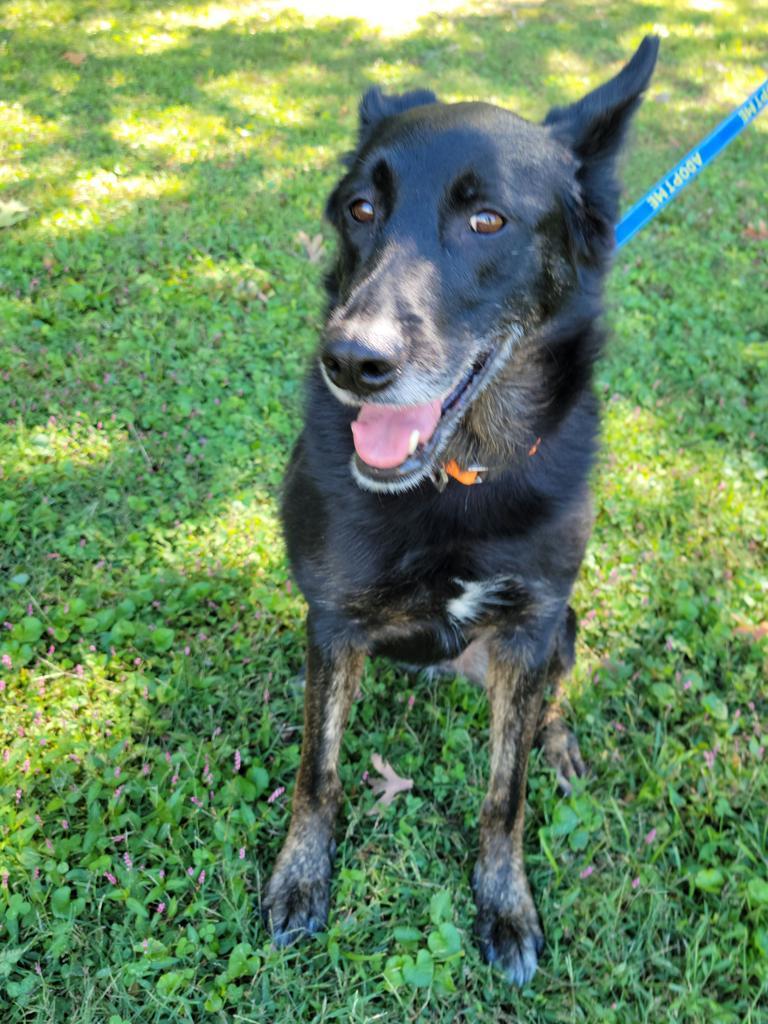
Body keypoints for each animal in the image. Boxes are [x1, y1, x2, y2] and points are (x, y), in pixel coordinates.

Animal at [264, 36, 663, 987]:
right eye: (362, 208)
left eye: (487, 222)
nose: (351, 360)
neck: (457, 477)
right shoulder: (332, 621)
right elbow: (318, 770)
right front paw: (301, 876)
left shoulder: (529, 626)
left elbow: (503, 795)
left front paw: (505, 903)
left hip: (564, 630)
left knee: (547, 703)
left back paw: (559, 744)